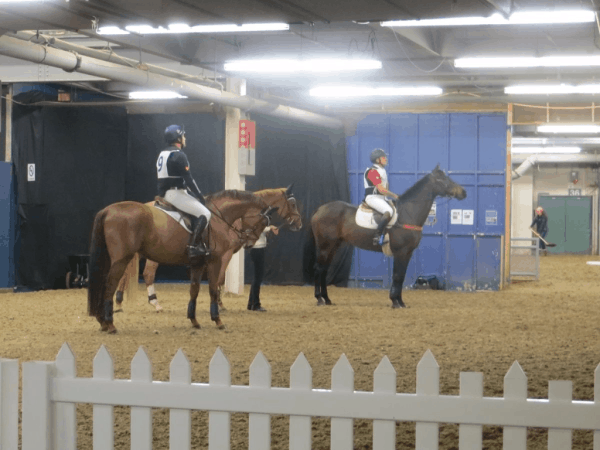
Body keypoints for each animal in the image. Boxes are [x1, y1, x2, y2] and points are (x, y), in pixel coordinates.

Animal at [87, 188, 272, 332]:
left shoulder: (198, 263)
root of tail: (108, 210)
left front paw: (194, 320)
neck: (217, 218)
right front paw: (218, 320)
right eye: (262, 222)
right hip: (121, 259)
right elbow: (212, 289)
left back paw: (103, 321)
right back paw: (110, 323)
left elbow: (194, 290)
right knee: (110, 285)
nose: (249, 243)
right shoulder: (215, 261)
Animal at [114, 185, 302, 312]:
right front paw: (219, 303)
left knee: (125, 272)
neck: (226, 217)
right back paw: (154, 303)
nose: (299, 223)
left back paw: (120, 301)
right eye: (293, 204)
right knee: (147, 274)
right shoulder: (225, 254)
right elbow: (219, 278)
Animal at [304, 165, 468, 310]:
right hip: (324, 246)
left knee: (324, 270)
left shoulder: (407, 253)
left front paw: (400, 302)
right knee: (319, 269)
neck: (407, 213)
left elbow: (401, 276)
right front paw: (395, 302)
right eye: (442, 179)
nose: (463, 192)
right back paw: (319, 299)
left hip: (333, 246)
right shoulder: (401, 252)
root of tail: (320, 209)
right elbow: (397, 276)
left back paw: (327, 299)